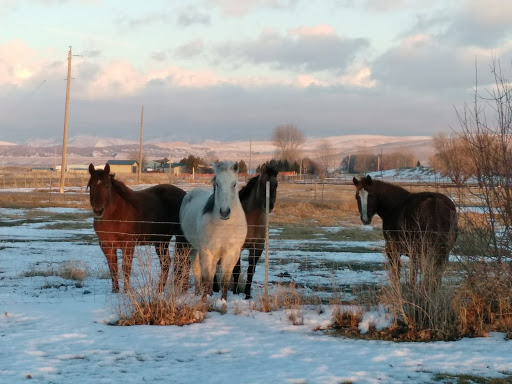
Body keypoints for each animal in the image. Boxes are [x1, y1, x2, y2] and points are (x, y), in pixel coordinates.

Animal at [88, 164, 188, 292]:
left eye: (107, 186)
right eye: (91, 186)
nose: (98, 211)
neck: (114, 216)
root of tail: (185, 195)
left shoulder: (128, 245)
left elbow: (126, 267)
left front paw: (126, 292)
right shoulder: (106, 246)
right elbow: (113, 268)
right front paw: (115, 291)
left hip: (180, 239)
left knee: (183, 262)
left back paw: (181, 290)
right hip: (161, 241)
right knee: (167, 263)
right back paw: (160, 289)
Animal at [179, 160, 247, 302]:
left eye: (234, 184)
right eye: (217, 183)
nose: (225, 212)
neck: (224, 226)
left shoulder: (231, 253)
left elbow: (225, 281)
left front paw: (223, 302)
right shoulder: (206, 251)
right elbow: (206, 278)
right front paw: (203, 302)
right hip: (193, 247)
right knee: (197, 270)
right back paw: (198, 293)